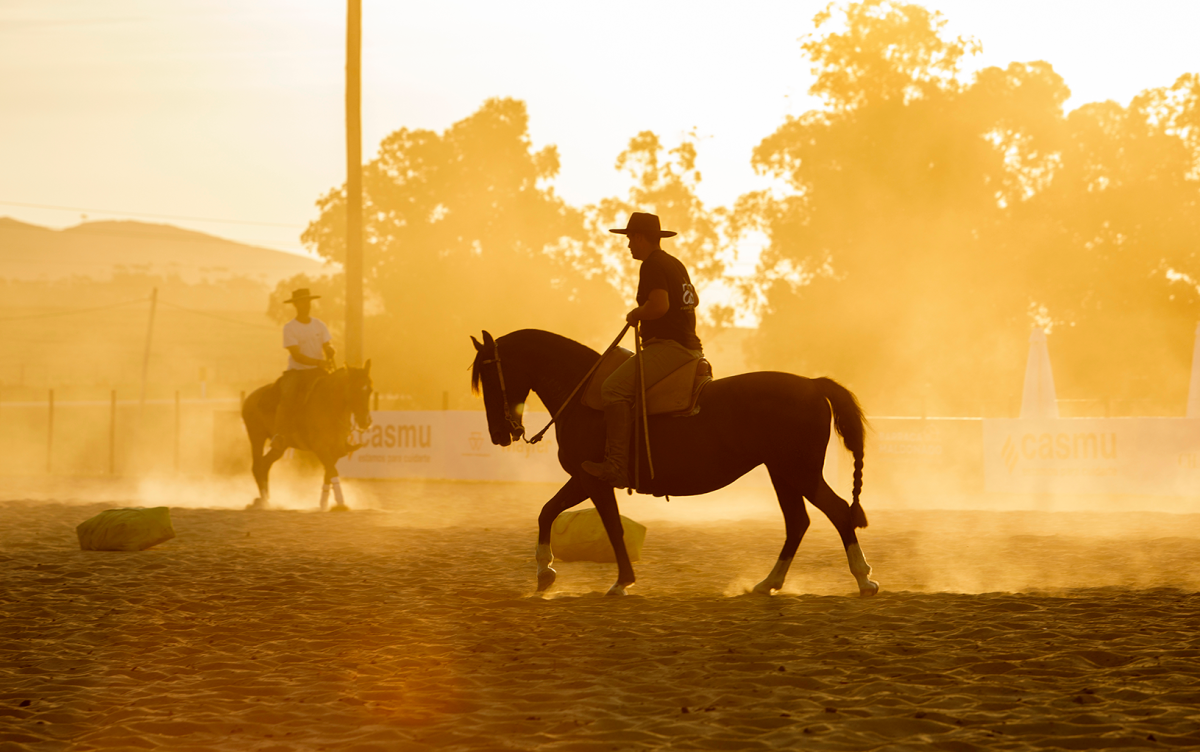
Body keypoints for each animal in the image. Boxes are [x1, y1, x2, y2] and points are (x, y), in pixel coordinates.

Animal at [241, 364, 372, 510]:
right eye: (354, 390)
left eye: (370, 390)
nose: (365, 422)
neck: (329, 404)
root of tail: (249, 397)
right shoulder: (320, 448)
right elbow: (332, 471)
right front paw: (340, 502)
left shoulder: (337, 450)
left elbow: (329, 472)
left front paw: (323, 503)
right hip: (256, 437)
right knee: (257, 466)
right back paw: (263, 501)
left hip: (279, 447)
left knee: (265, 465)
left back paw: (264, 500)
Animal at [470, 333, 883, 597]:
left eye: (489, 374)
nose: (499, 433)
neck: (584, 394)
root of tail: (813, 384)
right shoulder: (585, 479)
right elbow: (548, 512)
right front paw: (545, 574)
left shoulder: (594, 479)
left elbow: (609, 527)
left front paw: (621, 581)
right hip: (782, 473)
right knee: (798, 522)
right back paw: (769, 584)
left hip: (800, 472)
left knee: (838, 512)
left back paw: (864, 580)